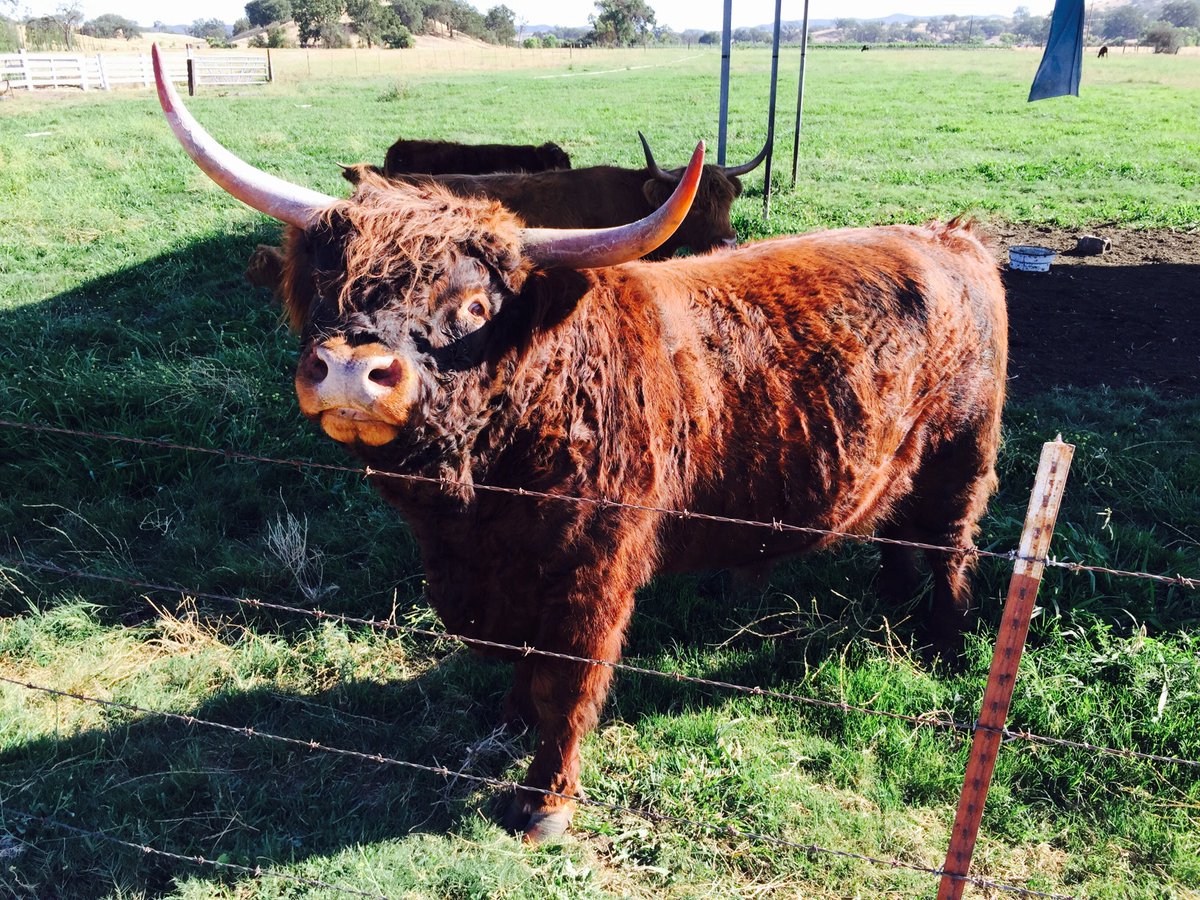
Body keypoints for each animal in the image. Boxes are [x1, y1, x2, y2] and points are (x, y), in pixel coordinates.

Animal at [153, 46, 1007, 844]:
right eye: (332, 291)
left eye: (474, 305)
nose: (352, 371)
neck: (478, 501)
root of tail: (949, 235)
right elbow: (522, 660)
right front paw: (508, 723)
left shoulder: (596, 571)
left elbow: (567, 678)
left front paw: (544, 801)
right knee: (897, 527)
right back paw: (893, 605)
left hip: (966, 447)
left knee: (950, 539)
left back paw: (944, 641)